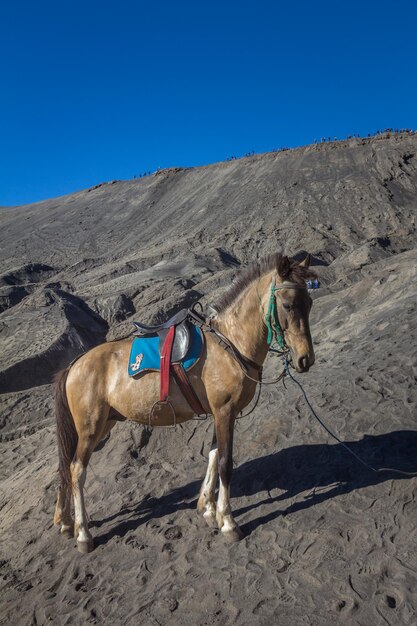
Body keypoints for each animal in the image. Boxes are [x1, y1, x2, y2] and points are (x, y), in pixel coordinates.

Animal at [54, 251, 316, 548]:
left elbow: (213, 455)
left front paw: (209, 509)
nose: (305, 359)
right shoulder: (224, 411)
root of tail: (74, 364)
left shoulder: (222, 413)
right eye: (287, 304)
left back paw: (66, 523)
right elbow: (225, 463)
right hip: (90, 427)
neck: (230, 344)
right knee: (77, 470)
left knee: (66, 468)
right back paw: (83, 534)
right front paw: (228, 522)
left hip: (104, 422)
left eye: (309, 302)